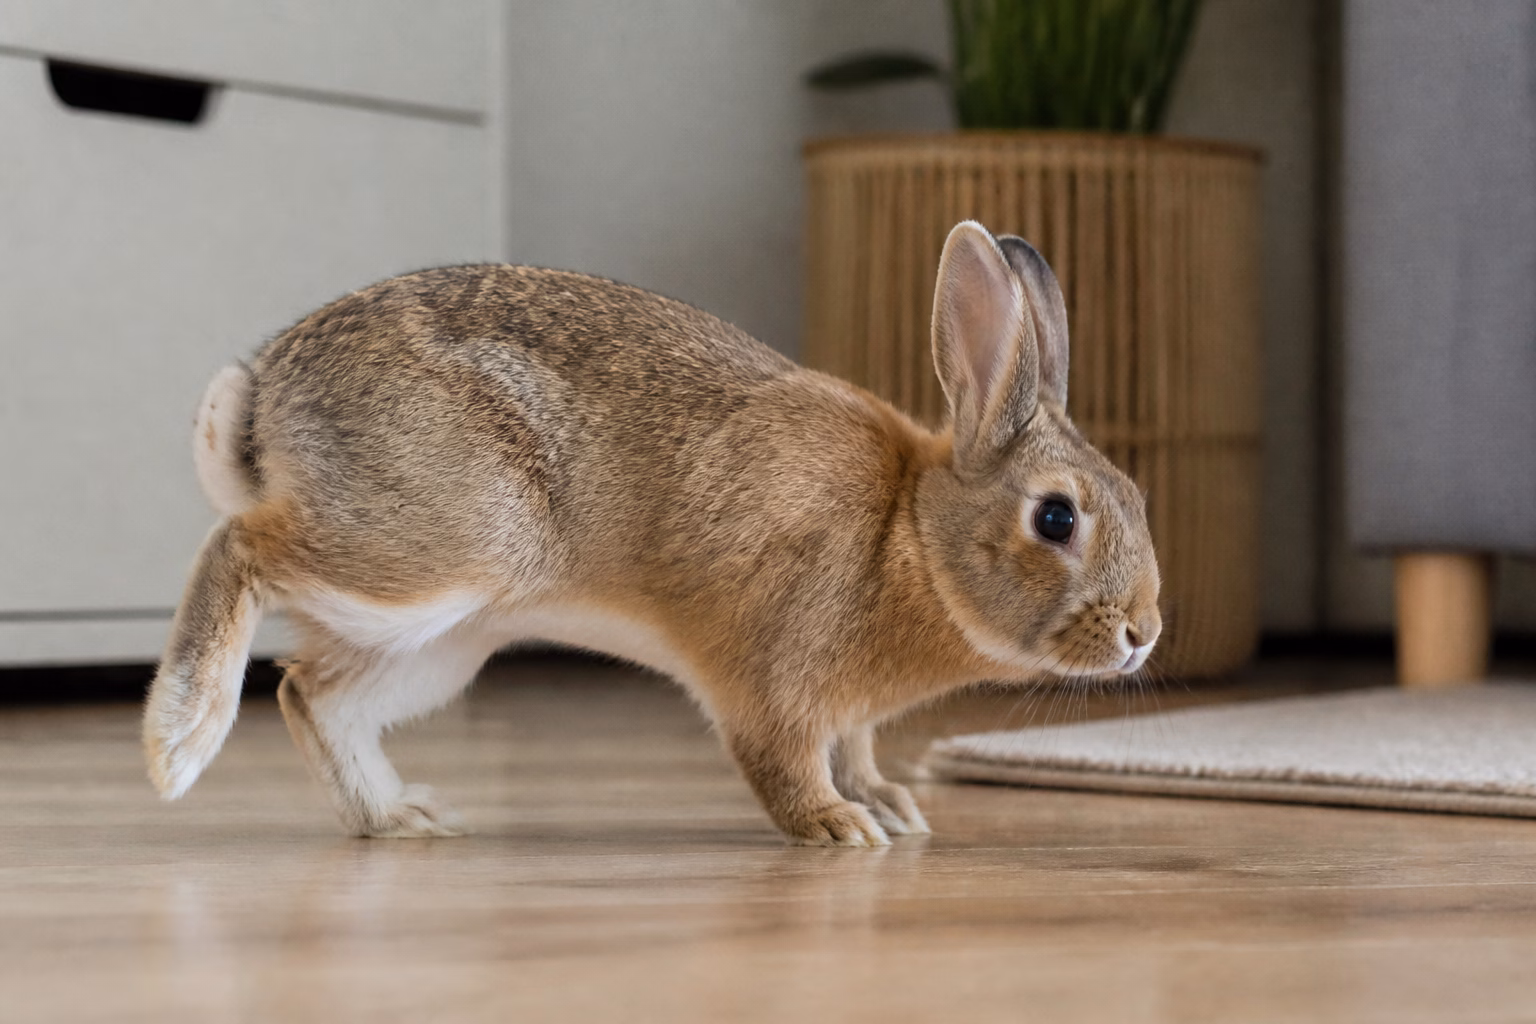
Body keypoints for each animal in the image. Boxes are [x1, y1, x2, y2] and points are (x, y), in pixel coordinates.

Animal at [143, 220, 1161, 846]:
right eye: (1057, 517)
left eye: (1137, 498)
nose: (1143, 632)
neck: (906, 534)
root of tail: (262, 403)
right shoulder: (777, 677)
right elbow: (787, 760)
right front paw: (841, 827)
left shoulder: (850, 713)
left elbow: (856, 750)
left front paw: (889, 806)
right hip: (437, 547)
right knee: (240, 551)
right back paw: (180, 739)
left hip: (445, 642)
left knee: (312, 694)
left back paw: (402, 819)